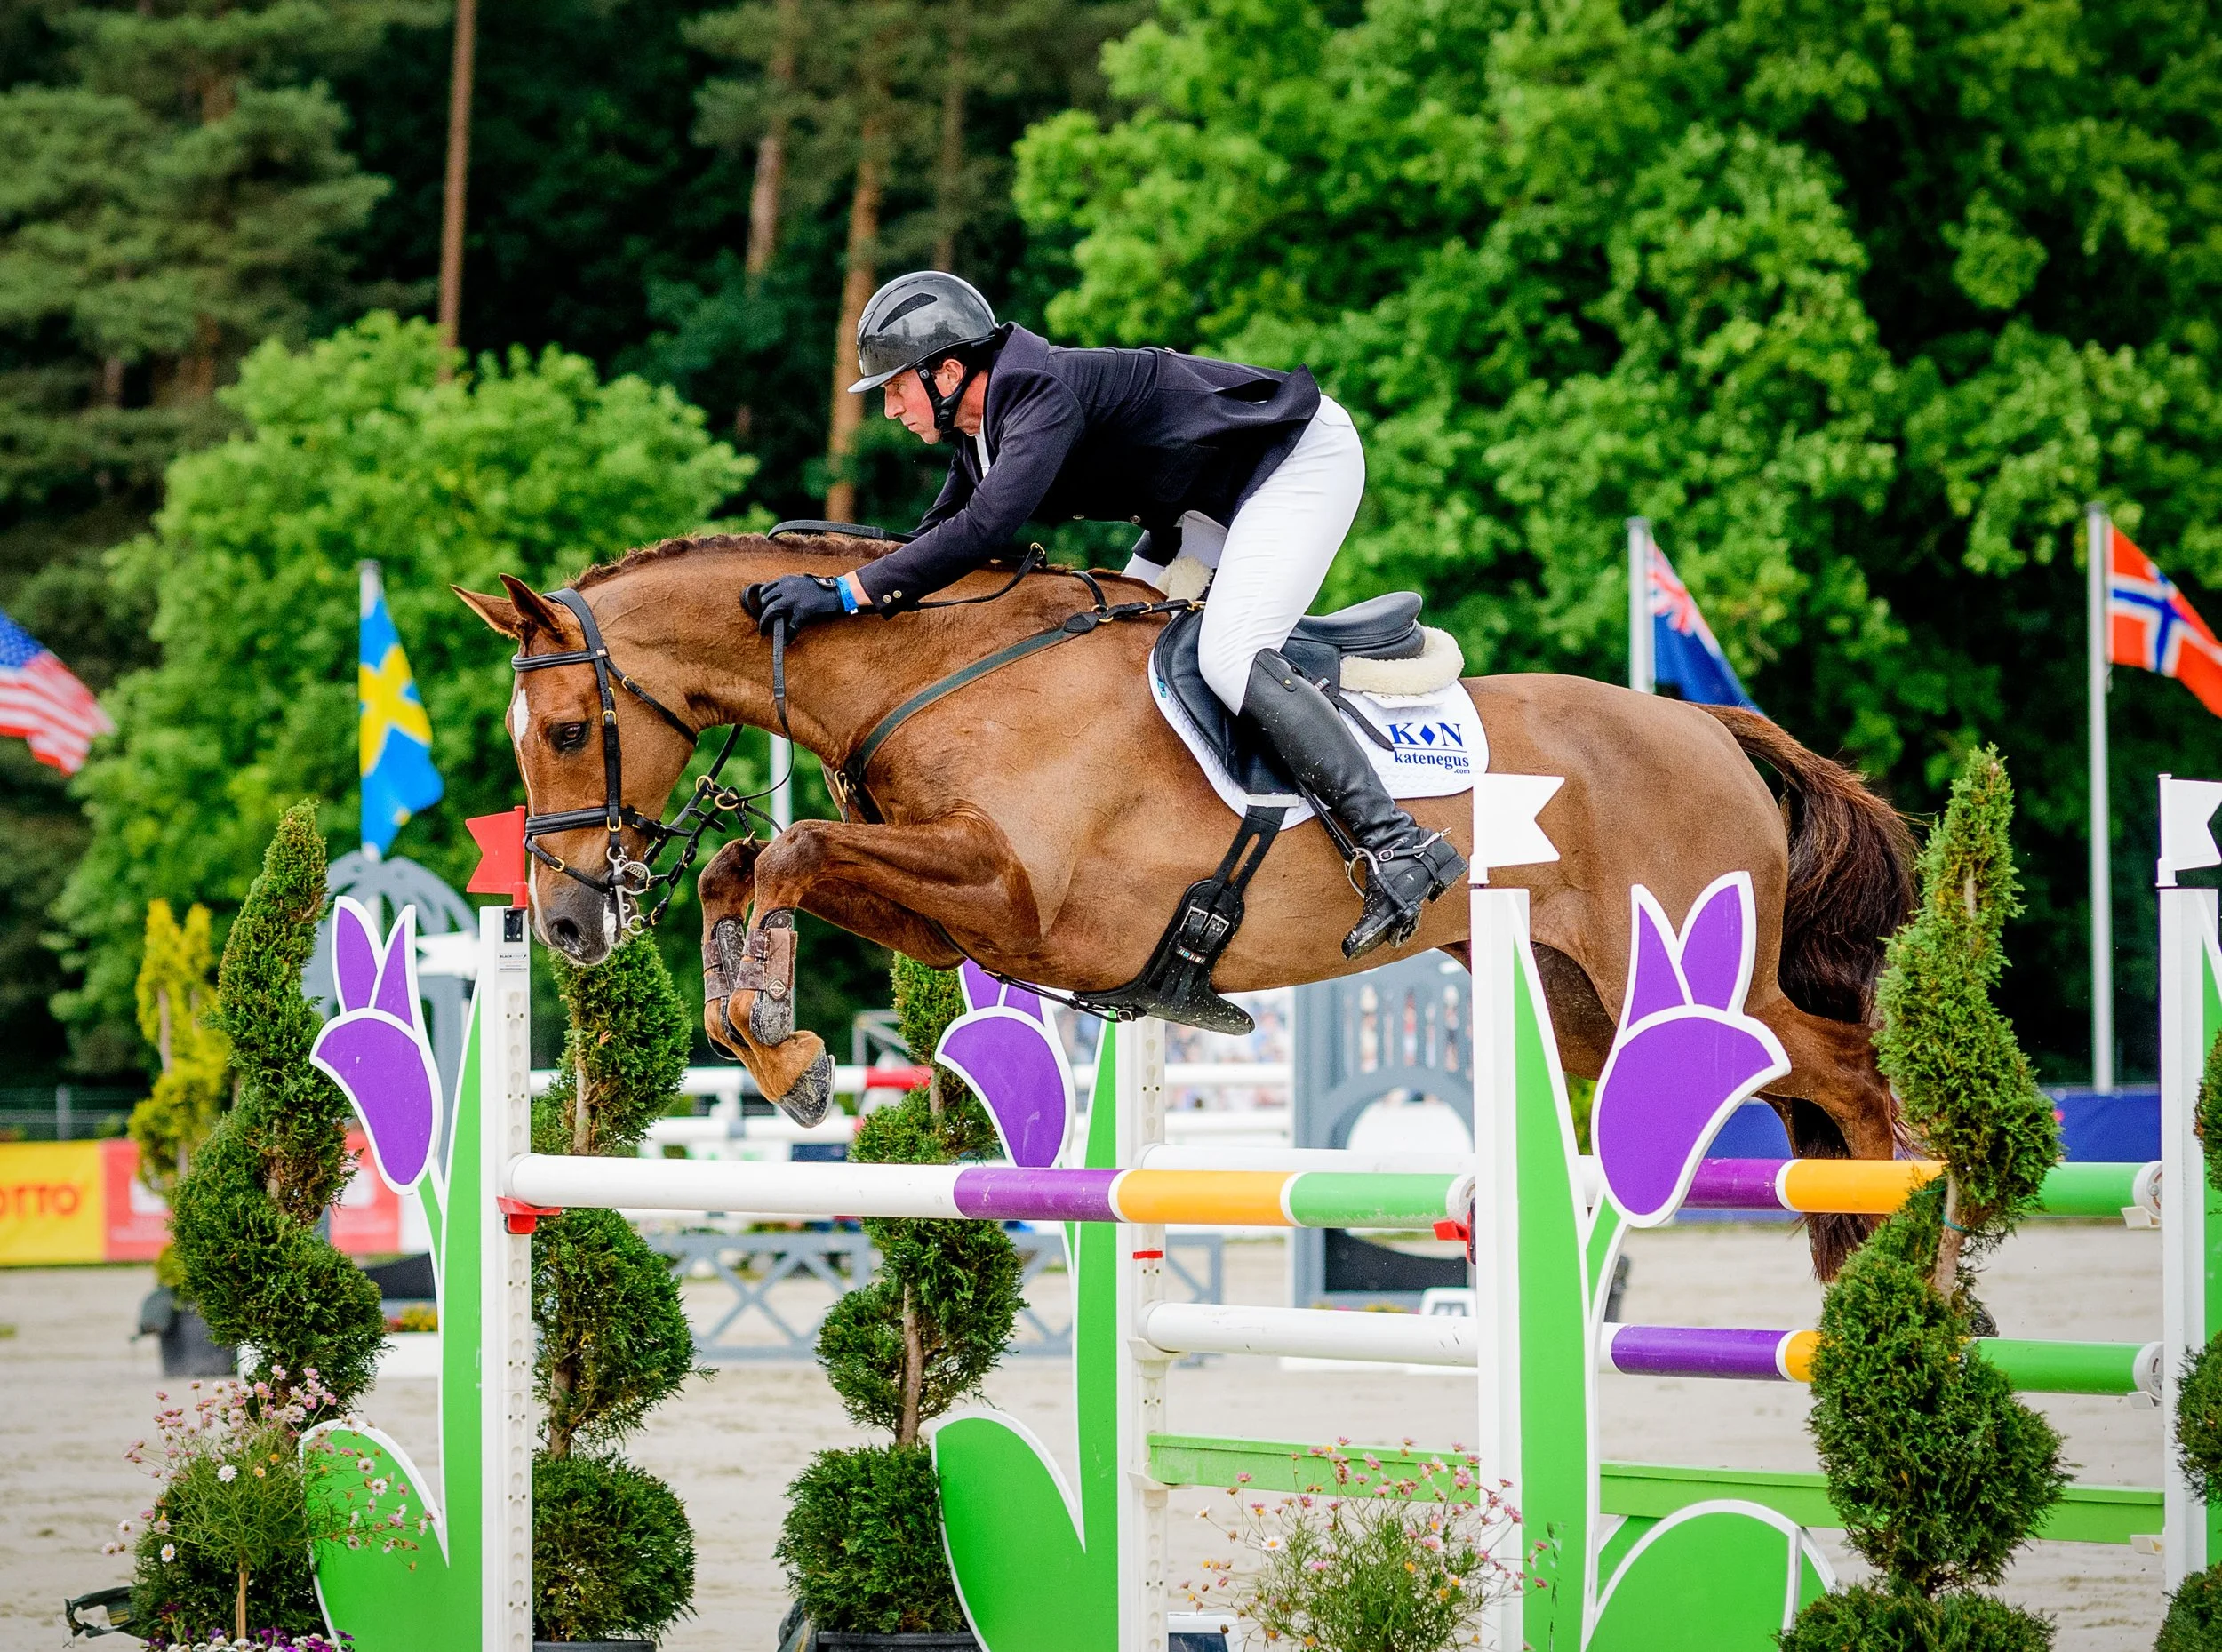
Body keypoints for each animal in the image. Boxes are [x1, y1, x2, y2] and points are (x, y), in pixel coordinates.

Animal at [457, 531, 1914, 1275]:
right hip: (1580, 1006)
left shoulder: (1019, 897)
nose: (570, 922)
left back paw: (1904, 1262)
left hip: (1705, 979)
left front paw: (782, 1041)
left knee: (1849, 1070)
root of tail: (1714, 730)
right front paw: (777, 1043)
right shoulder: (960, 905)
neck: (941, 665)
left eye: (573, 729)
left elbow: (795, 849)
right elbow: (748, 867)